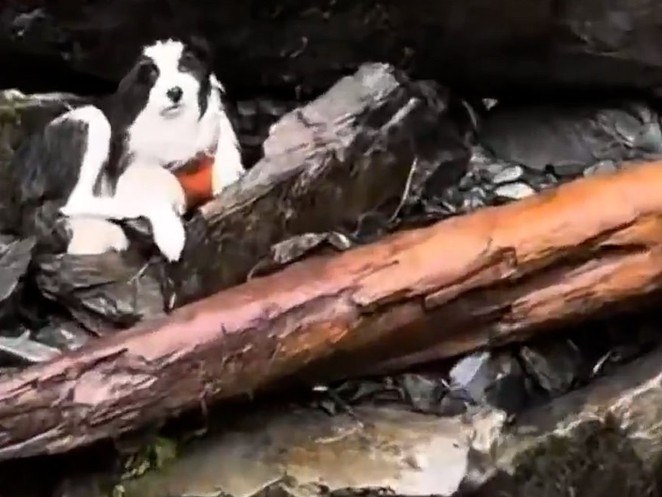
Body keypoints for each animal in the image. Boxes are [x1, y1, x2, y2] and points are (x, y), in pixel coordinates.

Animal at [15, 36, 244, 261]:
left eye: (184, 66)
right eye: (152, 74)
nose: (174, 92)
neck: (175, 124)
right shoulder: (131, 167)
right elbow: (155, 189)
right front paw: (171, 237)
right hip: (92, 119)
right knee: (73, 202)